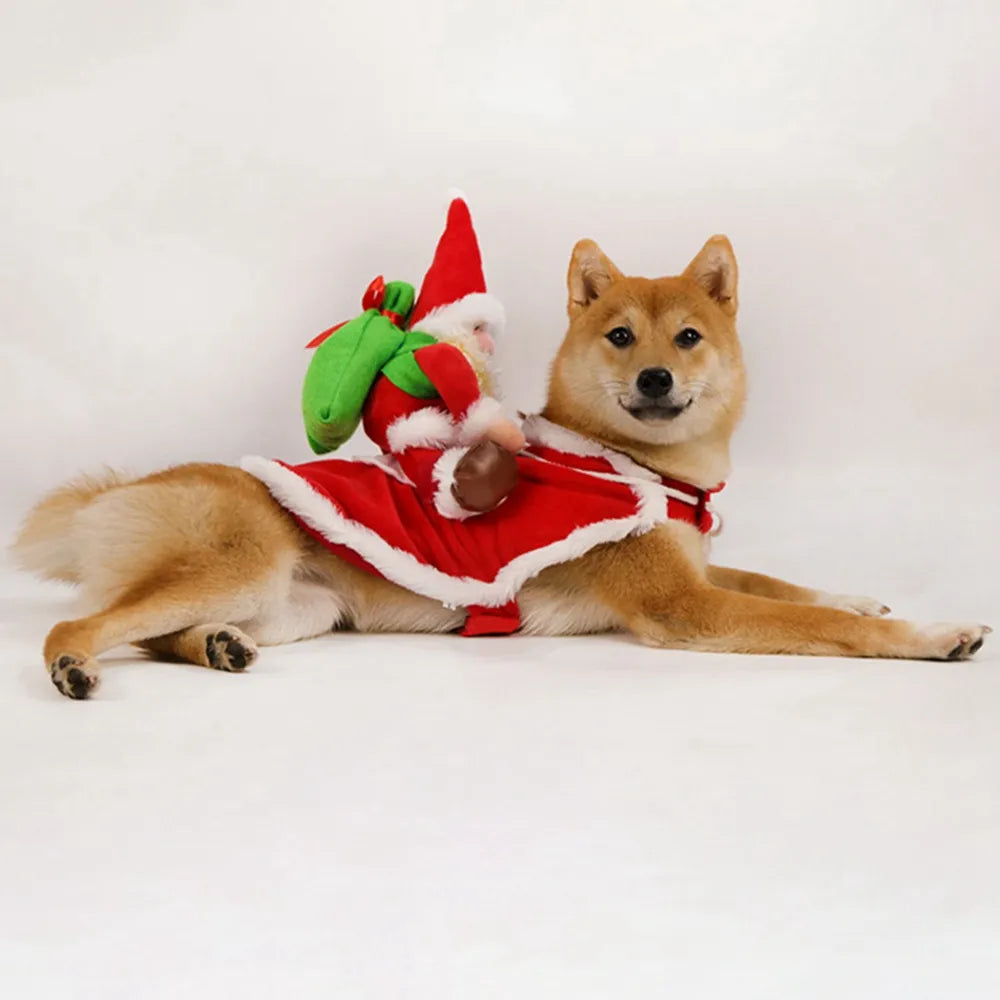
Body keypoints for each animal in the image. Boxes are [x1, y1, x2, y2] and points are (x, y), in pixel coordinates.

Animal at [11, 237, 988, 700]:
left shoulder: (700, 567)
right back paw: (75, 669)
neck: (646, 470)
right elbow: (822, 626)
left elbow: (786, 583)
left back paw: (214, 648)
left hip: (296, 606)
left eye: (688, 337)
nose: (656, 377)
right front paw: (933, 633)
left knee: (152, 632)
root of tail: (116, 492)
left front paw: (860, 594)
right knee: (78, 626)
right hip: (240, 562)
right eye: (620, 336)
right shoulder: (685, 606)